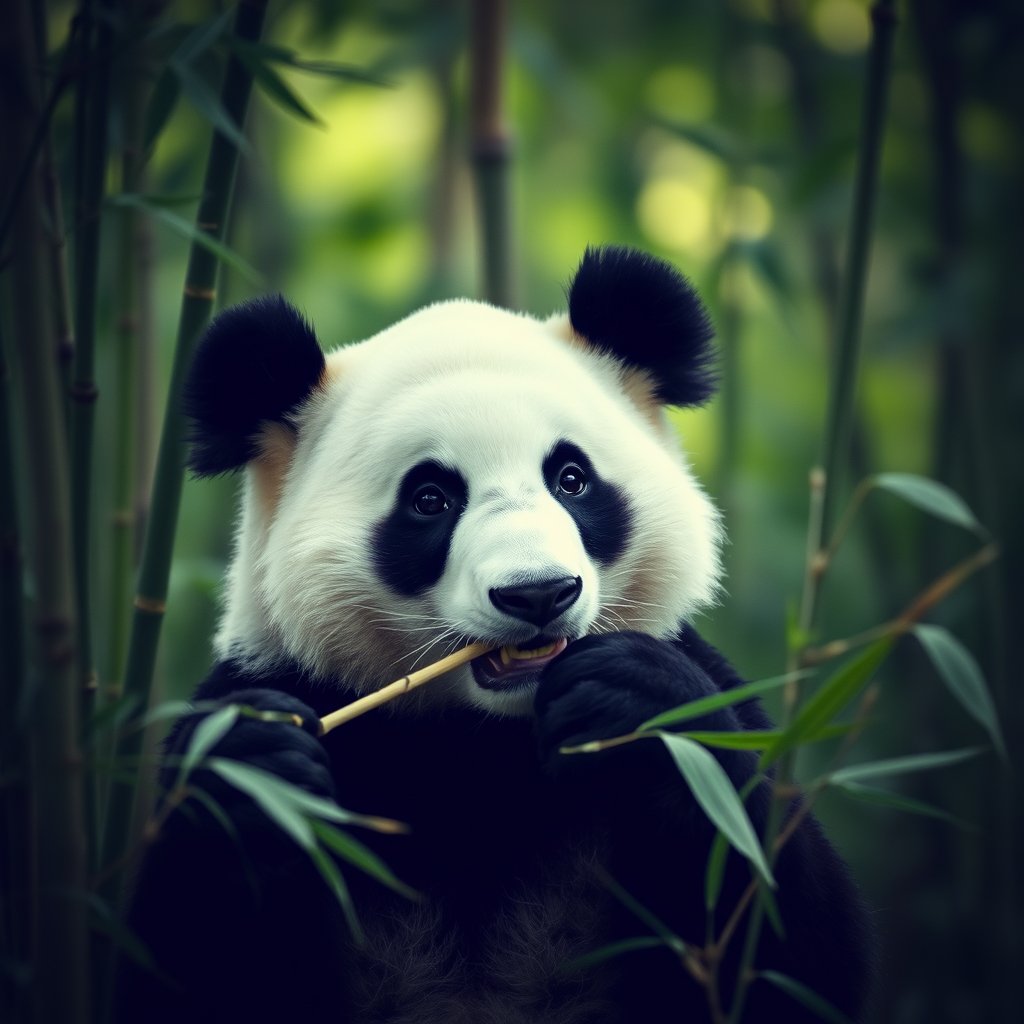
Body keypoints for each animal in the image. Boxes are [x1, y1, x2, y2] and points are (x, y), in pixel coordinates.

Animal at [117, 246, 871, 1024]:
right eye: (430, 499)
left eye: (571, 478)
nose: (537, 592)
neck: (482, 741)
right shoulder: (282, 681)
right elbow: (178, 955)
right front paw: (259, 765)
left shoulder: (713, 688)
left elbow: (783, 933)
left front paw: (629, 698)